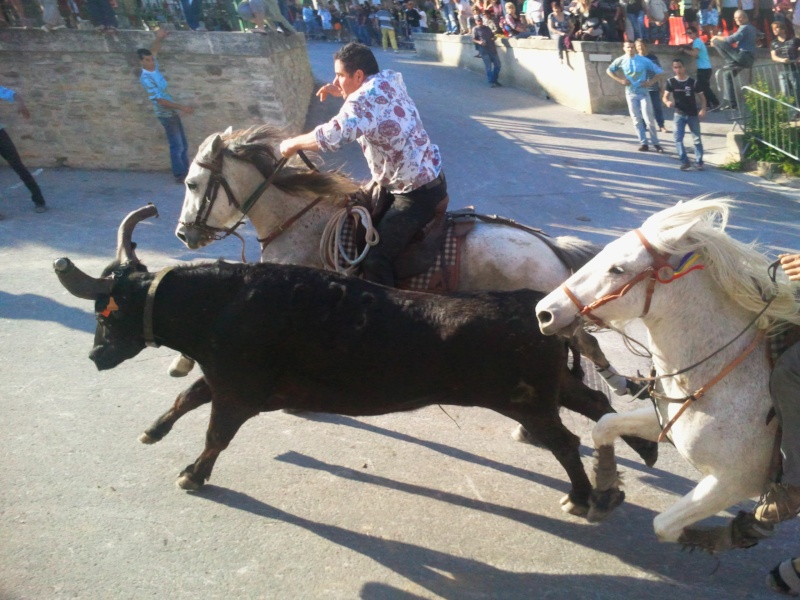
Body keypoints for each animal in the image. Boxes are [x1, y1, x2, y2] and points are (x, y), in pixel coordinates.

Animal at [51, 207, 656, 516]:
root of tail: (532, 307)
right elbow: (186, 395)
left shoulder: (239, 391)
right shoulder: (226, 378)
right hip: (548, 389)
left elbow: (214, 433)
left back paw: (582, 495)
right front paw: (153, 432)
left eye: (107, 310)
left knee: (566, 441)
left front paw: (193, 475)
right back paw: (640, 452)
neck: (226, 300)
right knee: (594, 401)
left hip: (527, 402)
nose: (96, 354)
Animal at [536, 199, 800, 552]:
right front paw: (604, 490)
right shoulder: (664, 422)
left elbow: (664, 525)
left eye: (617, 269)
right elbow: (605, 425)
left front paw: (733, 534)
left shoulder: (734, 481)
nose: (544, 312)